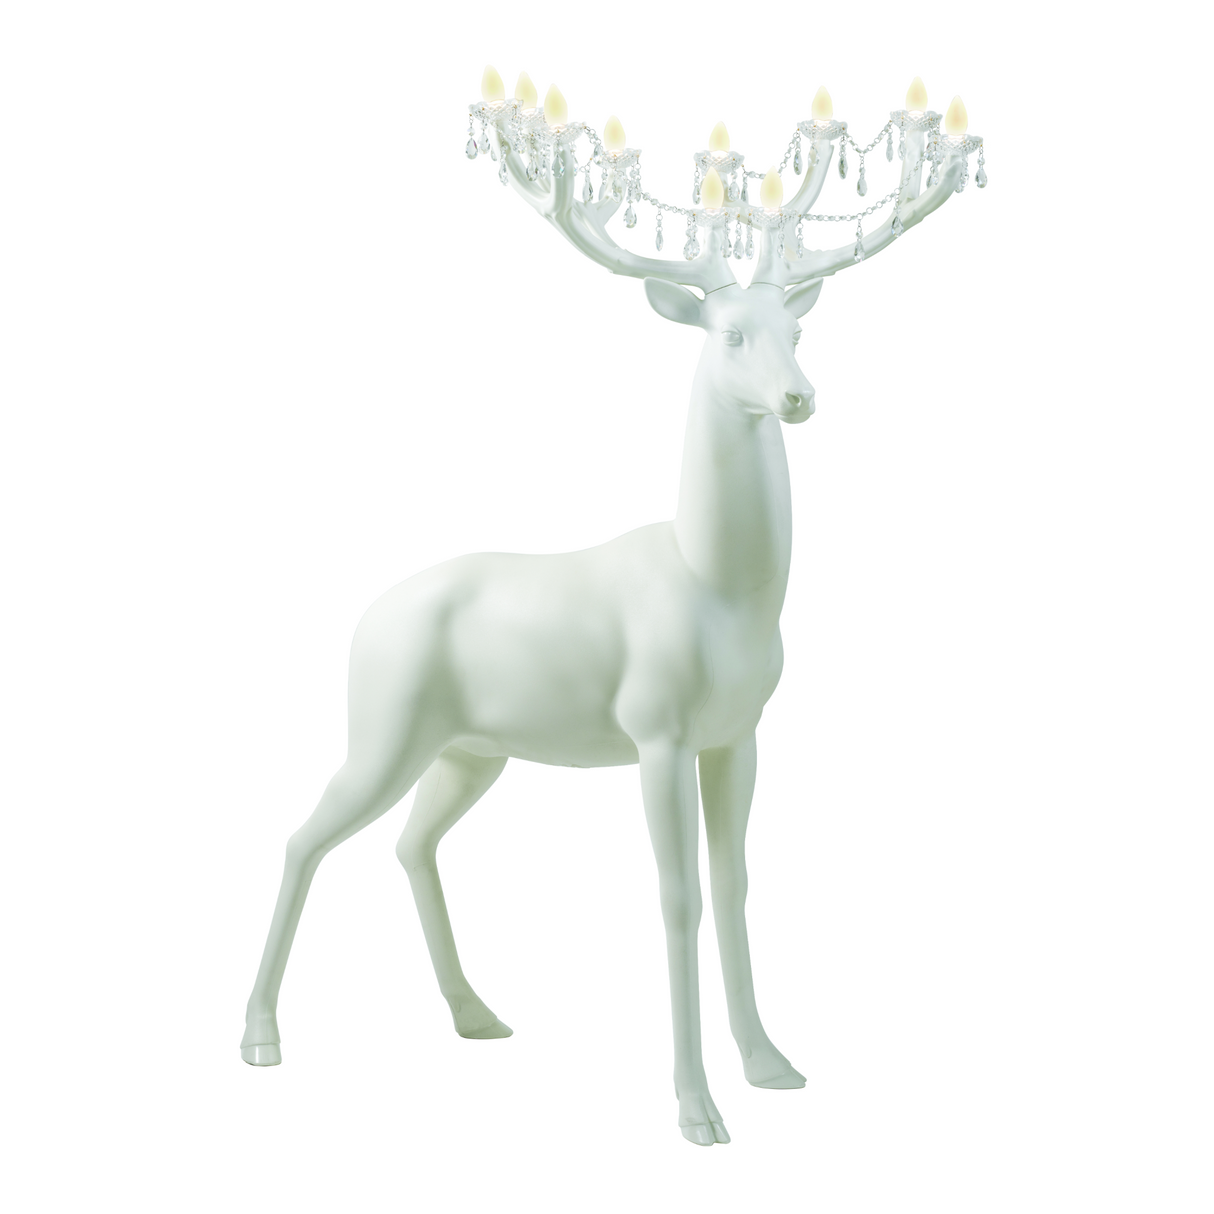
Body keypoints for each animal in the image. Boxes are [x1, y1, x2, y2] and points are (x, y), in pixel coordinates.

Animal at [240, 114, 964, 1146]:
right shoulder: (655, 731)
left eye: (798, 329)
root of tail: (362, 618)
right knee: (303, 837)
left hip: (470, 750)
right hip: (382, 730)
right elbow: (677, 895)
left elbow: (736, 883)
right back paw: (261, 1036)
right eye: (730, 333)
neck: (719, 588)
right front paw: (697, 1110)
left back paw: (477, 1014)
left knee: (411, 843)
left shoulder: (739, 735)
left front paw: (772, 1065)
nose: (799, 397)